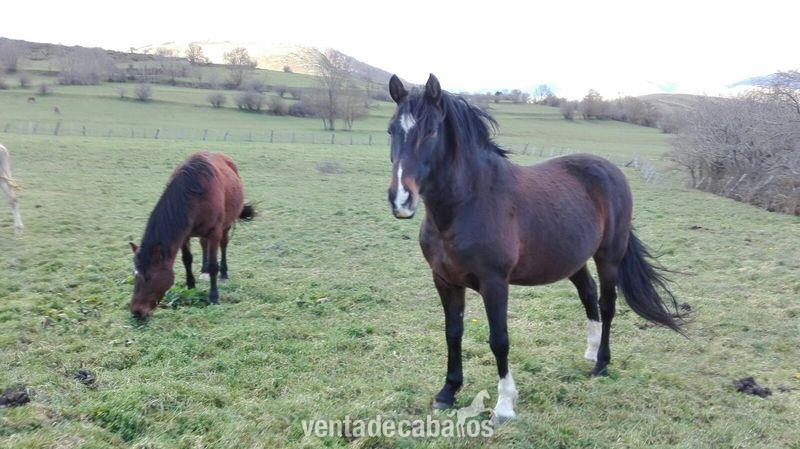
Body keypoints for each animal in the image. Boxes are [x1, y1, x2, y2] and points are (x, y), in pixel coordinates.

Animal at [129, 151, 255, 318]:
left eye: (149, 276)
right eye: (135, 274)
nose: (136, 311)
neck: (194, 194)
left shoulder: (214, 232)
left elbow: (214, 265)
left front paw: (214, 297)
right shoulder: (184, 235)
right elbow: (187, 260)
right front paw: (191, 286)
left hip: (226, 225)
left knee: (224, 244)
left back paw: (224, 274)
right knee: (203, 244)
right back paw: (204, 270)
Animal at [386, 74, 682, 423]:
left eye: (431, 130)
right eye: (391, 130)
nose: (401, 200)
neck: (467, 203)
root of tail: (610, 170)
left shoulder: (494, 283)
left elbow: (499, 340)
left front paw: (504, 405)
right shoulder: (444, 281)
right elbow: (452, 332)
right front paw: (448, 391)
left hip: (609, 257)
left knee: (607, 304)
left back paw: (601, 364)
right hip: (573, 260)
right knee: (588, 294)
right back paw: (590, 351)